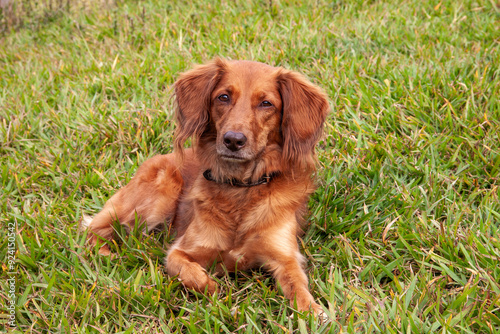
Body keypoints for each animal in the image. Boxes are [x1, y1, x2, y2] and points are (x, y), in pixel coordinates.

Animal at [84, 58, 330, 316]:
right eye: (223, 97)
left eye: (266, 103)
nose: (233, 140)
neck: (240, 189)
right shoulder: (180, 251)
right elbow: (192, 274)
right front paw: (215, 290)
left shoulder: (286, 258)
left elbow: (298, 285)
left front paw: (314, 312)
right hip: (159, 194)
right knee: (94, 231)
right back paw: (109, 255)